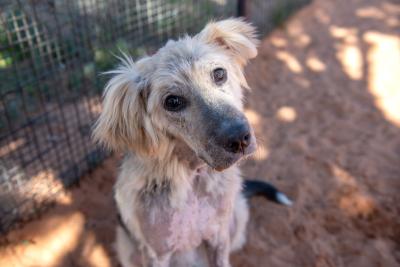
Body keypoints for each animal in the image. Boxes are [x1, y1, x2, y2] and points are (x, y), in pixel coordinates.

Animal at [95, 18, 292, 267]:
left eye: (219, 74)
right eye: (172, 101)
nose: (240, 138)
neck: (192, 179)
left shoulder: (218, 238)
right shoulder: (158, 253)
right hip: (127, 247)